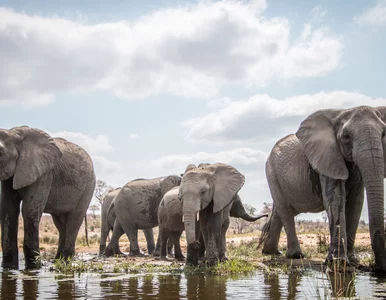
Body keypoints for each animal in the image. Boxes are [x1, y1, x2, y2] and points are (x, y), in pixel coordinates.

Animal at [0, 126, 95, 270]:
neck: (13, 134)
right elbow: (8, 210)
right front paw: (8, 268)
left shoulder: (44, 173)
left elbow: (29, 209)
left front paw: (34, 268)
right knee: (61, 224)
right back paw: (57, 261)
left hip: (88, 187)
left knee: (74, 220)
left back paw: (65, 262)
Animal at [260, 105, 386, 272]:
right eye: (346, 136)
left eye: (384, 133)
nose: (377, 268)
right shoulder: (327, 157)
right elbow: (335, 200)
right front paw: (338, 262)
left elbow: (356, 203)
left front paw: (352, 261)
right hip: (272, 172)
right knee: (285, 210)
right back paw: (295, 255)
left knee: (279, 211)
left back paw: (271, 252)